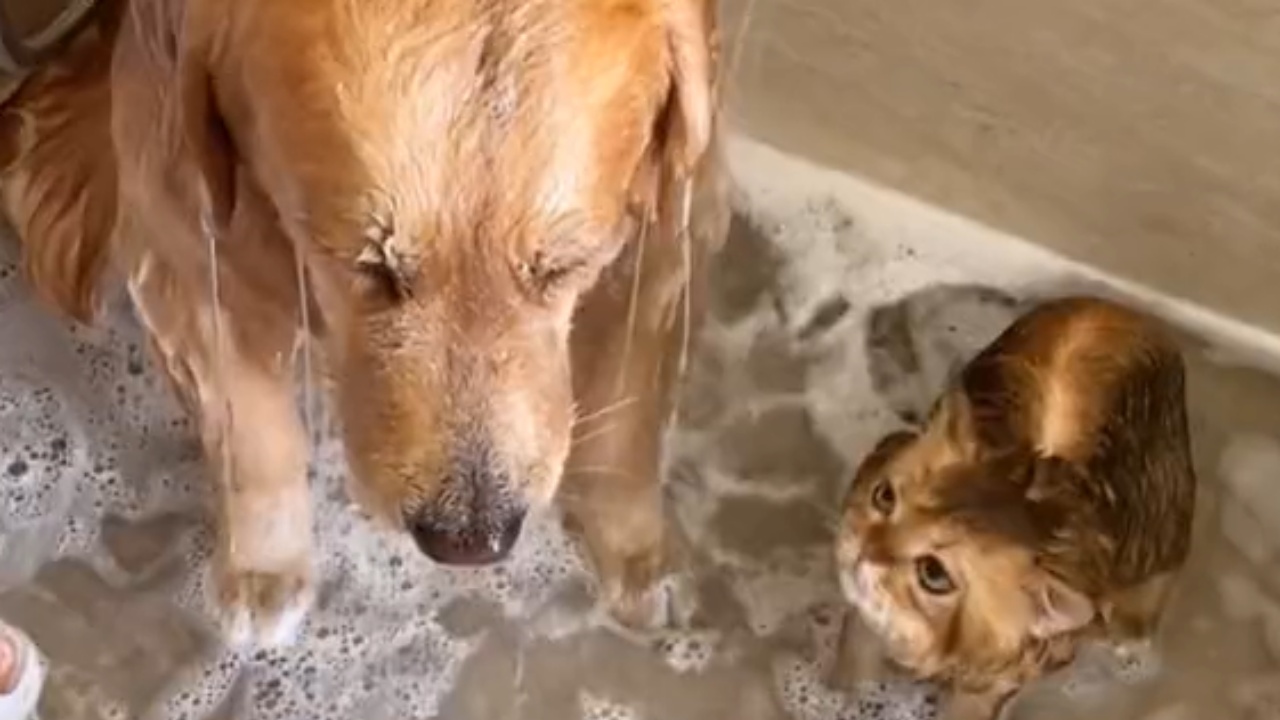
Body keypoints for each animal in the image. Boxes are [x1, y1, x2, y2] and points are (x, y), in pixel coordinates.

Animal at [0, 0, 732, 645]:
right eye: (366, 265)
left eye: (561, 268)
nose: (470, 542)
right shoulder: (188, 237)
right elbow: (252, 432)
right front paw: (264, 571)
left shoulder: (666, 223)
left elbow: (630, 409)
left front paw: (636, 555)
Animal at [829, 294, 1198, 712]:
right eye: (884, 496)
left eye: (933, 574)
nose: (863, 551)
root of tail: (1122, 308)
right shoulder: (866, 623)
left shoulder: (998, 681)